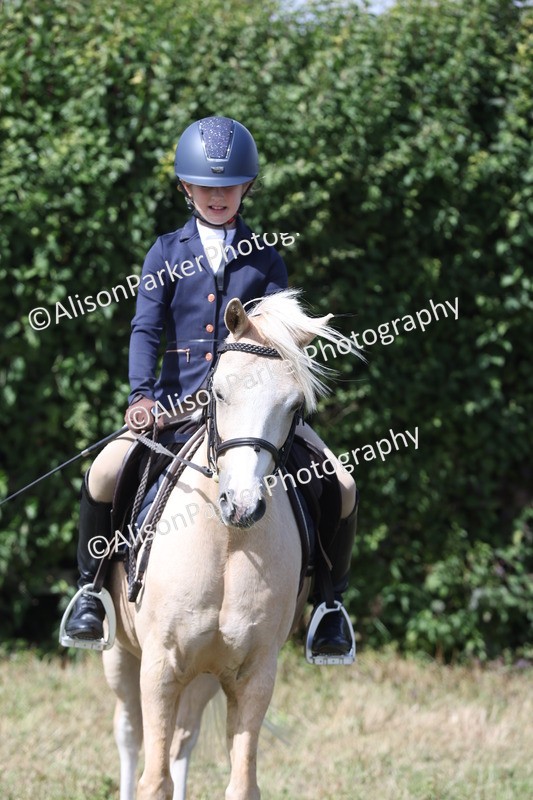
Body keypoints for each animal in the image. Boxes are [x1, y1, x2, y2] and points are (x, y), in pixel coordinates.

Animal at [101, 288, 356, 800]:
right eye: (219, 392)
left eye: (295, 407)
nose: (241, 505)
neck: (226, 543)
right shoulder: (158, 666)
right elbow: (152, 780)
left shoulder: (255, 673)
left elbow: (239, 782)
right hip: (121, 653)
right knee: (129, 734)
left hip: (203, 672)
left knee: (183, 740)